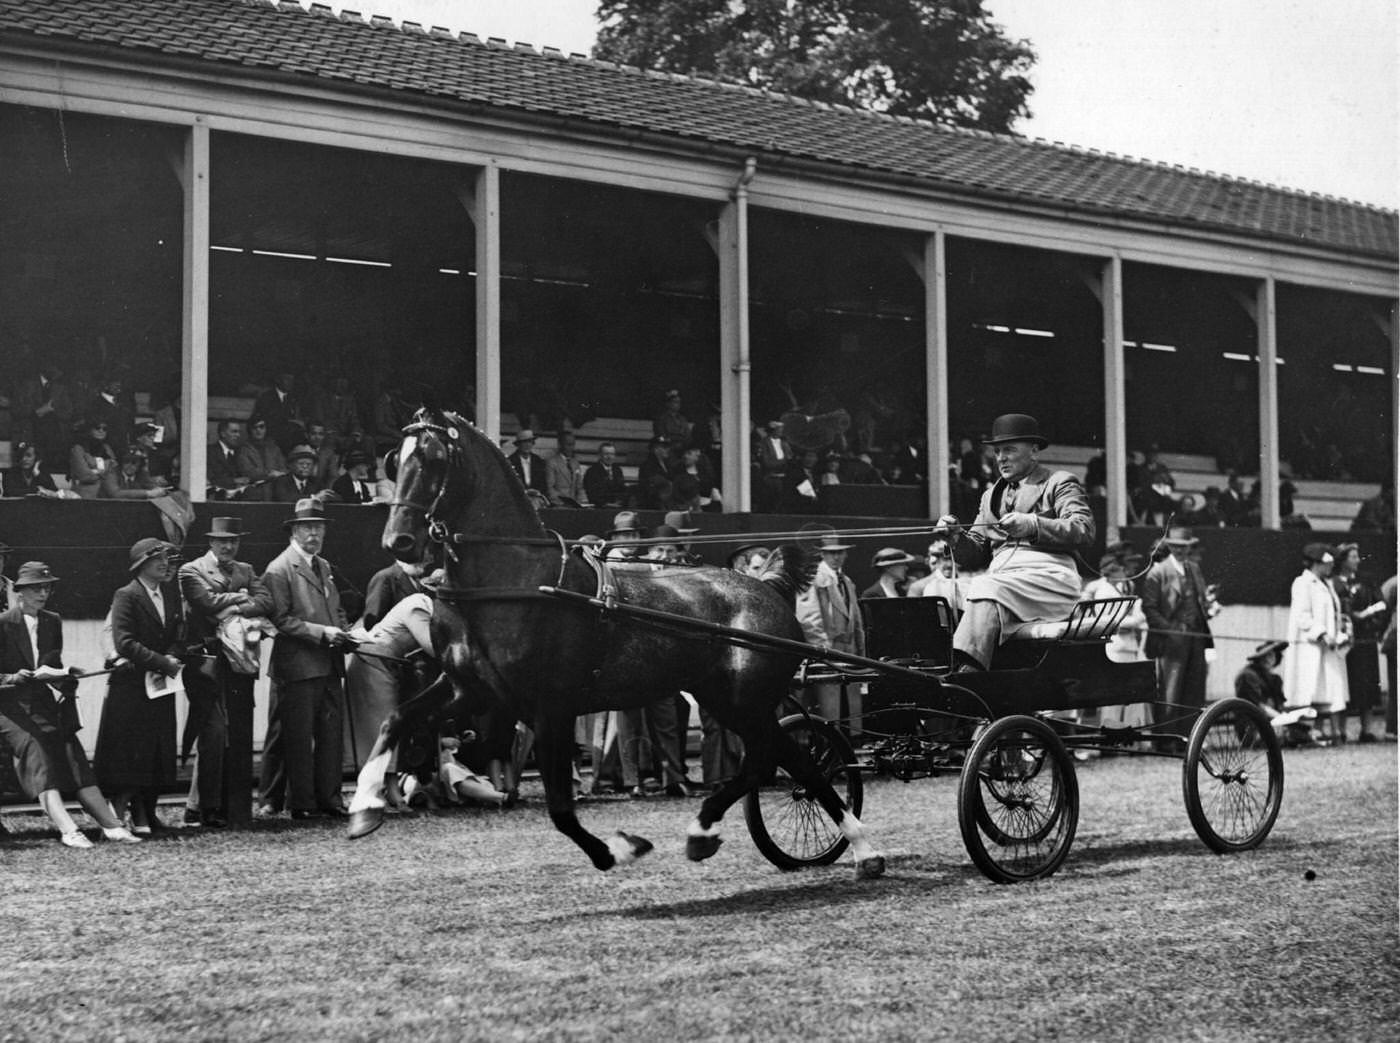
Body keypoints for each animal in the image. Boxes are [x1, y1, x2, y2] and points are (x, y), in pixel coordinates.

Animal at [345, 408, 884, 879]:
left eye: (435, 458)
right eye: (394, 459)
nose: (399, 542)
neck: (512, 581)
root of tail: (766, 588)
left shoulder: (551, 706)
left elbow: (560, 807)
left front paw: (619, 850)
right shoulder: (470, 691)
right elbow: (397, 720)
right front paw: (366, 806)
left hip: (744, 699)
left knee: (779, 759)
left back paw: (849, 846)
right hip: (724, 698)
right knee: (779, 758)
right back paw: (728, 833)